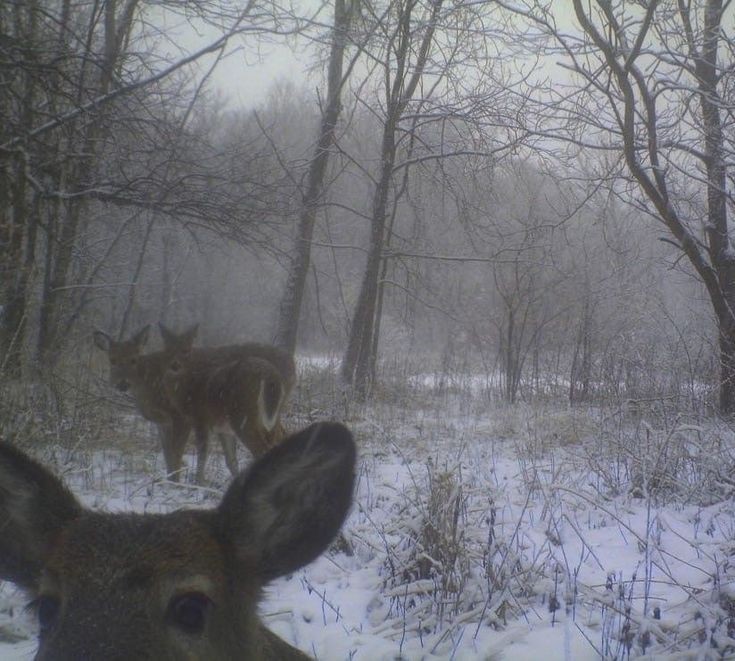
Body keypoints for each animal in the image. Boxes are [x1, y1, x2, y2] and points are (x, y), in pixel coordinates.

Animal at [91, 324, 236, 482]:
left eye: (134, 360)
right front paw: (170, 479)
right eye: (112, 360)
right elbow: (167, 455)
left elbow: (176, 454)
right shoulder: (162, 422)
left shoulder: (181, 416)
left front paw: (176, 482)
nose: (122, 383)